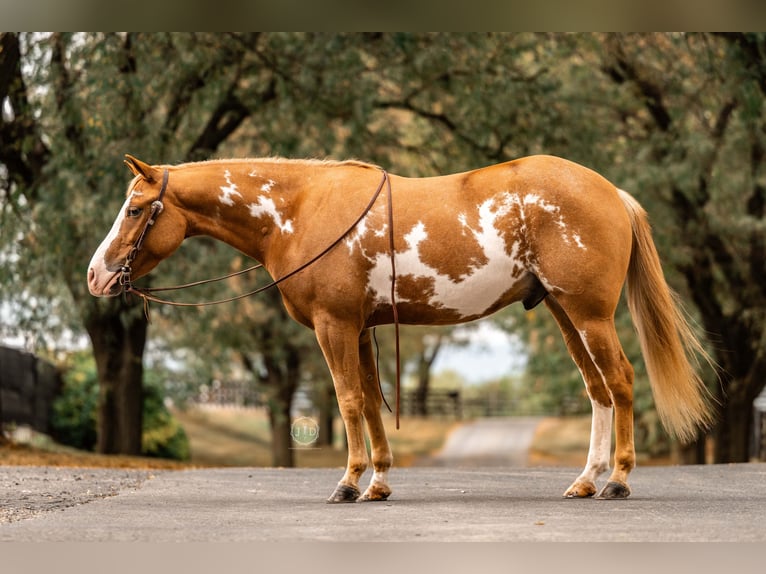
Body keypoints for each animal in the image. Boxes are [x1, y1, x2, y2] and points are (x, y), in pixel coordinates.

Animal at [87, 153, 714, 502]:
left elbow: (346, 400)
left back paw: (618, 480)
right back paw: (586, 480)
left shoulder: (334, 326)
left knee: (622, 381)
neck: (301, 211)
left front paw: (348, 483)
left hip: (589, 314)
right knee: (598, 390)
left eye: (136, 209)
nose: (96, 276)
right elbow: (368, 399)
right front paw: (379, 482)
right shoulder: (360, 327)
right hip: (564, 314)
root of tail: (611, 192)